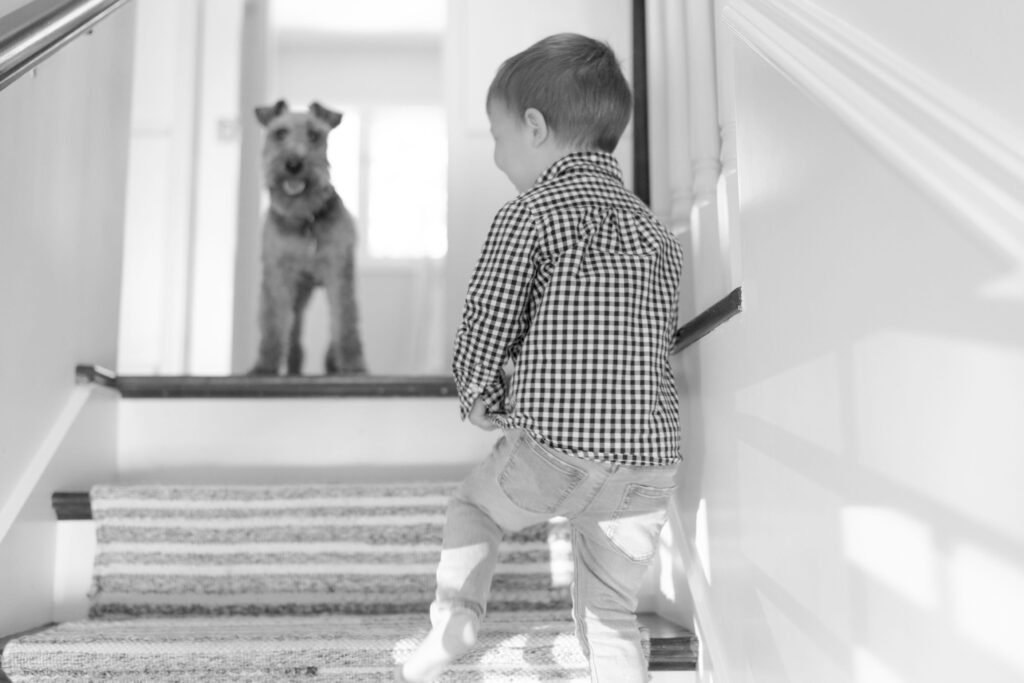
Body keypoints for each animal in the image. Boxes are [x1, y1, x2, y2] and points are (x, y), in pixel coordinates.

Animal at [249, 101, 366, 376]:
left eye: (314, 135)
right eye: (280, 133)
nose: (293, 164)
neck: (304, 219)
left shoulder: (338, 272)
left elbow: (345, 322)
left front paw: (353, 366)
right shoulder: (278, 275)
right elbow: (273, 323)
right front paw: (264, 367)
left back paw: (333, 363)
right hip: (298, 296)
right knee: (293, 332)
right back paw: (294, 366)